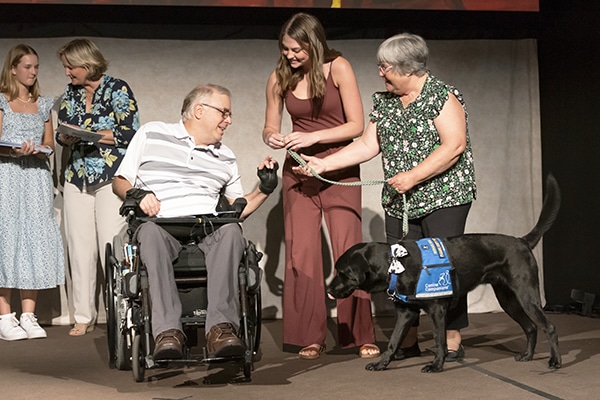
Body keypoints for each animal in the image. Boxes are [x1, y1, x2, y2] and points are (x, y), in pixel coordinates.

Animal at [328, 174, 564, 372]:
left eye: (342, 273)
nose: (328, 290)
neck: (395, 262)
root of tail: (522, 241)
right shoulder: (406, 313)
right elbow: (393, 342)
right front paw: (381, 364)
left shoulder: (437, 309)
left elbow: (439, 340)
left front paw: (436, 365)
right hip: (508, 299)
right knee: (531, 327)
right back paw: (527, 356)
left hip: (526, 296)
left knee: (549, 327)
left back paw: (555, 361)